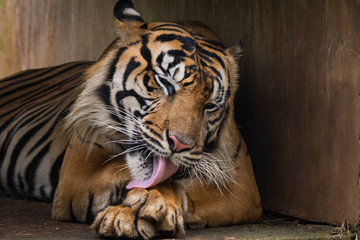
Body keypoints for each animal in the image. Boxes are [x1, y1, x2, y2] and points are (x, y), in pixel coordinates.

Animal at [0, 0, 262, 238]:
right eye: (165, 83)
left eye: (210, 106)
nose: (180, 145)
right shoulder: (77, 171)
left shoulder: (241, 186)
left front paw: (140, 211)